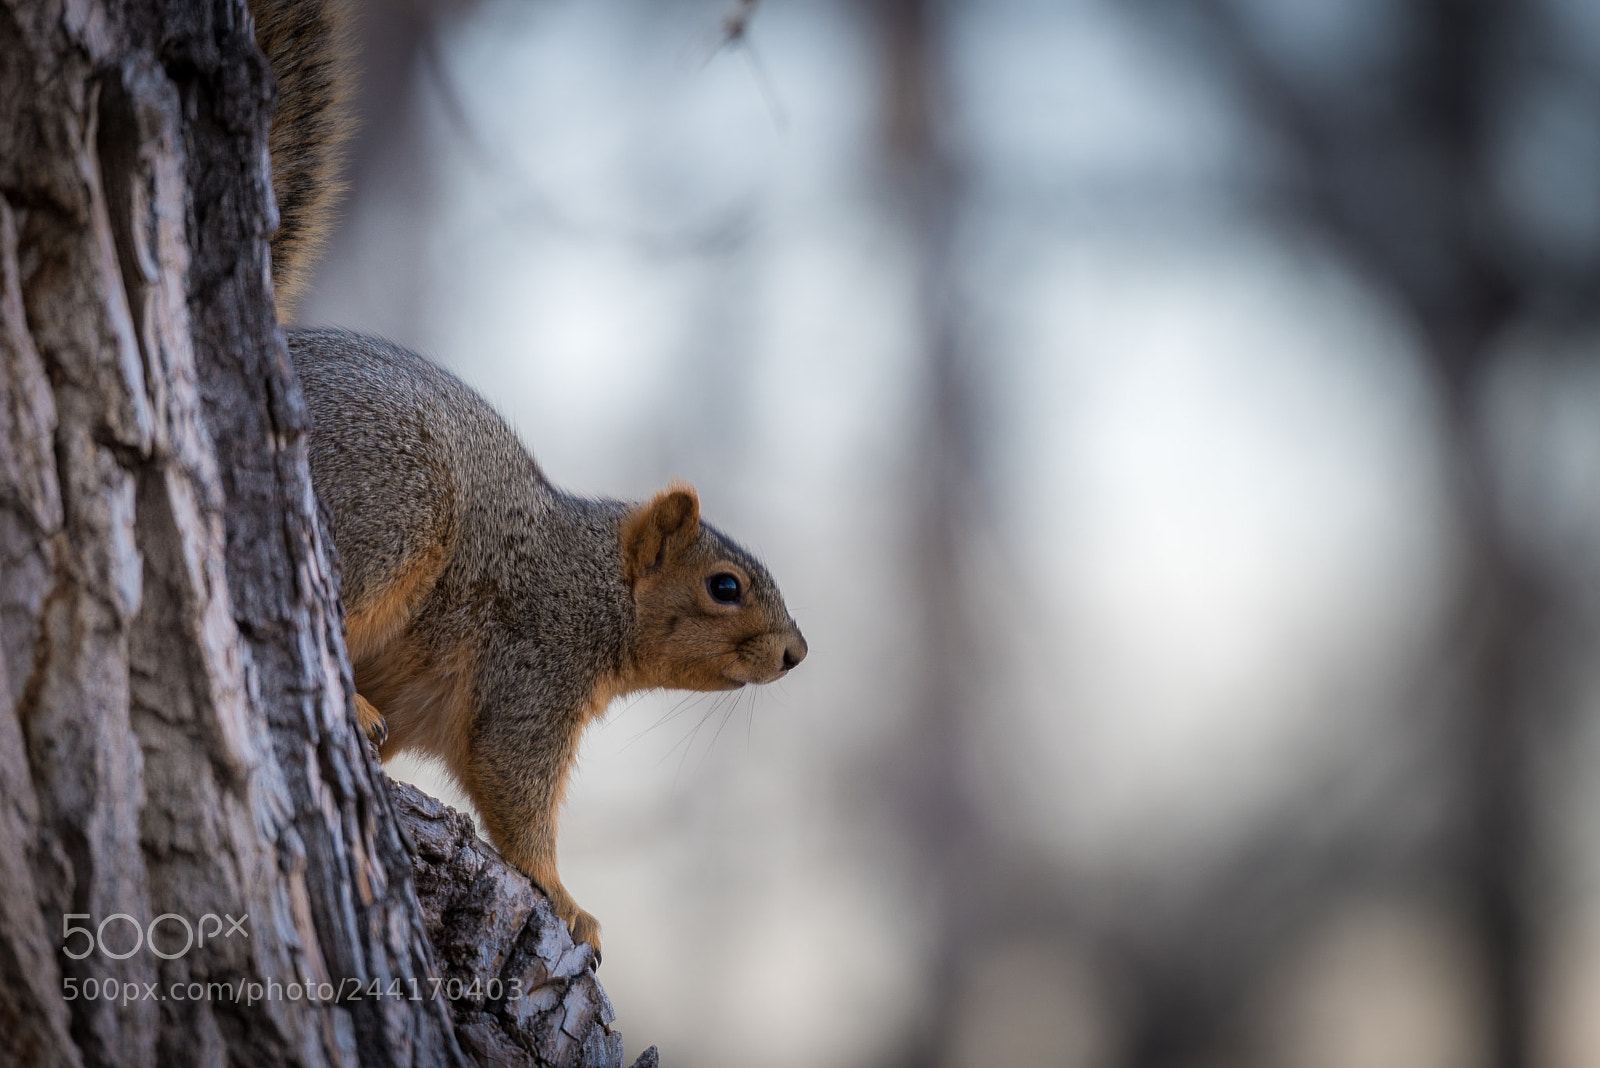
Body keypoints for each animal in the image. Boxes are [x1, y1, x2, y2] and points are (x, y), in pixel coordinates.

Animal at [246, 0, 807, 957]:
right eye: (724, 586)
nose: (796, 652)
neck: (590, 574)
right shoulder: (533, 659)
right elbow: (512, 781)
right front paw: (564, 894)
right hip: (391, 507)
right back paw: (350, 703)